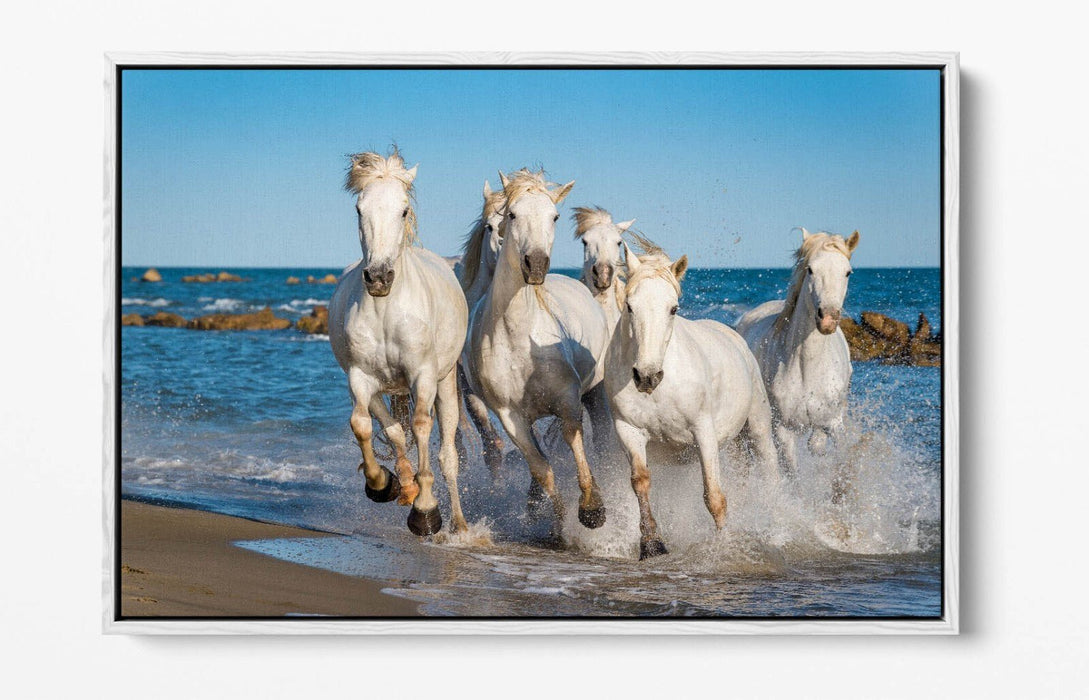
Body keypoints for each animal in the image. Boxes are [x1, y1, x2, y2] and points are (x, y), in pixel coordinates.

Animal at [329, 150, 470, 536]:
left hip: (446, 382)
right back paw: (404, 485)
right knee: (390, 429)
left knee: (448, 455)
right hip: (381, 389)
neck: (386, 310)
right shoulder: (360, 378)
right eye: (359, 209)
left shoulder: (423, 375)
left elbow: (422, 426)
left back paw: (460, 525)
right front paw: (383, 484)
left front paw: (426, 511)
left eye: (403, 210)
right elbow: (364, 426)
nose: (379, 277)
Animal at [464, 168, 611, 534]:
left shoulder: (568, 398)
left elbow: (573, 437)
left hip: (595, 392)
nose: (536, 265)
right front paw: (558, 524)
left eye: (554, 216)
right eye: (513, 215)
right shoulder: (510, 416)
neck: (518, 336)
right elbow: (541, 467)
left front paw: (592, 509)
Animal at [604, 241, 780, 559]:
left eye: (673, 308)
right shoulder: (629, 430)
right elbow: (641, 482)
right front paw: (652, 545)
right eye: (630, 306)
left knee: (769, 468)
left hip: (758, 427)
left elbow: (714, 496)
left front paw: (724, 546)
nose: (647, 376)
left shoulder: (703, 431)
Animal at [734, 228, 860, 478]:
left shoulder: (835, 421)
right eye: (810, 269)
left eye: (847, 272)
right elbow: (793, 472)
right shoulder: (784, 430)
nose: (828, 319)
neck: (807, 368)